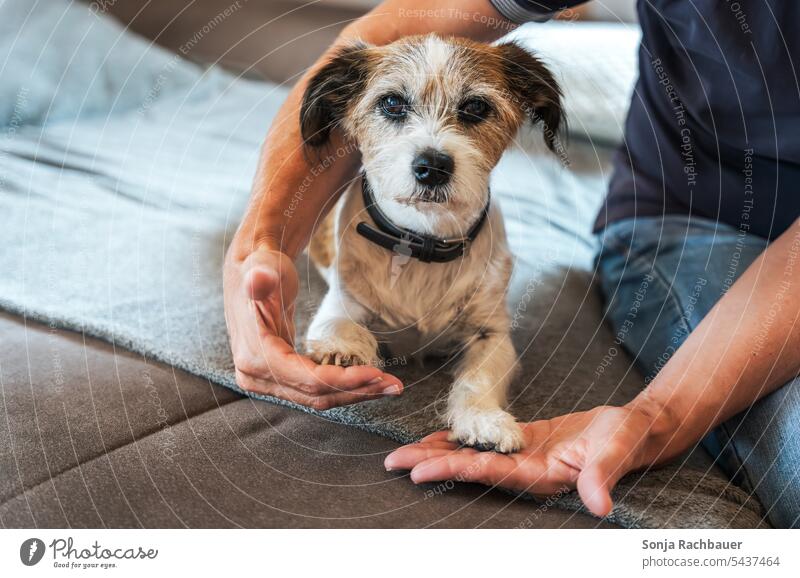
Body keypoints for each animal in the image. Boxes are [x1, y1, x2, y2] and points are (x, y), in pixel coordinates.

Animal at [298, 33, 564, 452]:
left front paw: (483, 420)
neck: (422, 242)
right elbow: (339, 328)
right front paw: (347, 349)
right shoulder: (342, 303)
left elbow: (479, 378)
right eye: (391, 103)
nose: (432, 165)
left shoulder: (491, 334)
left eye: (476, 106)